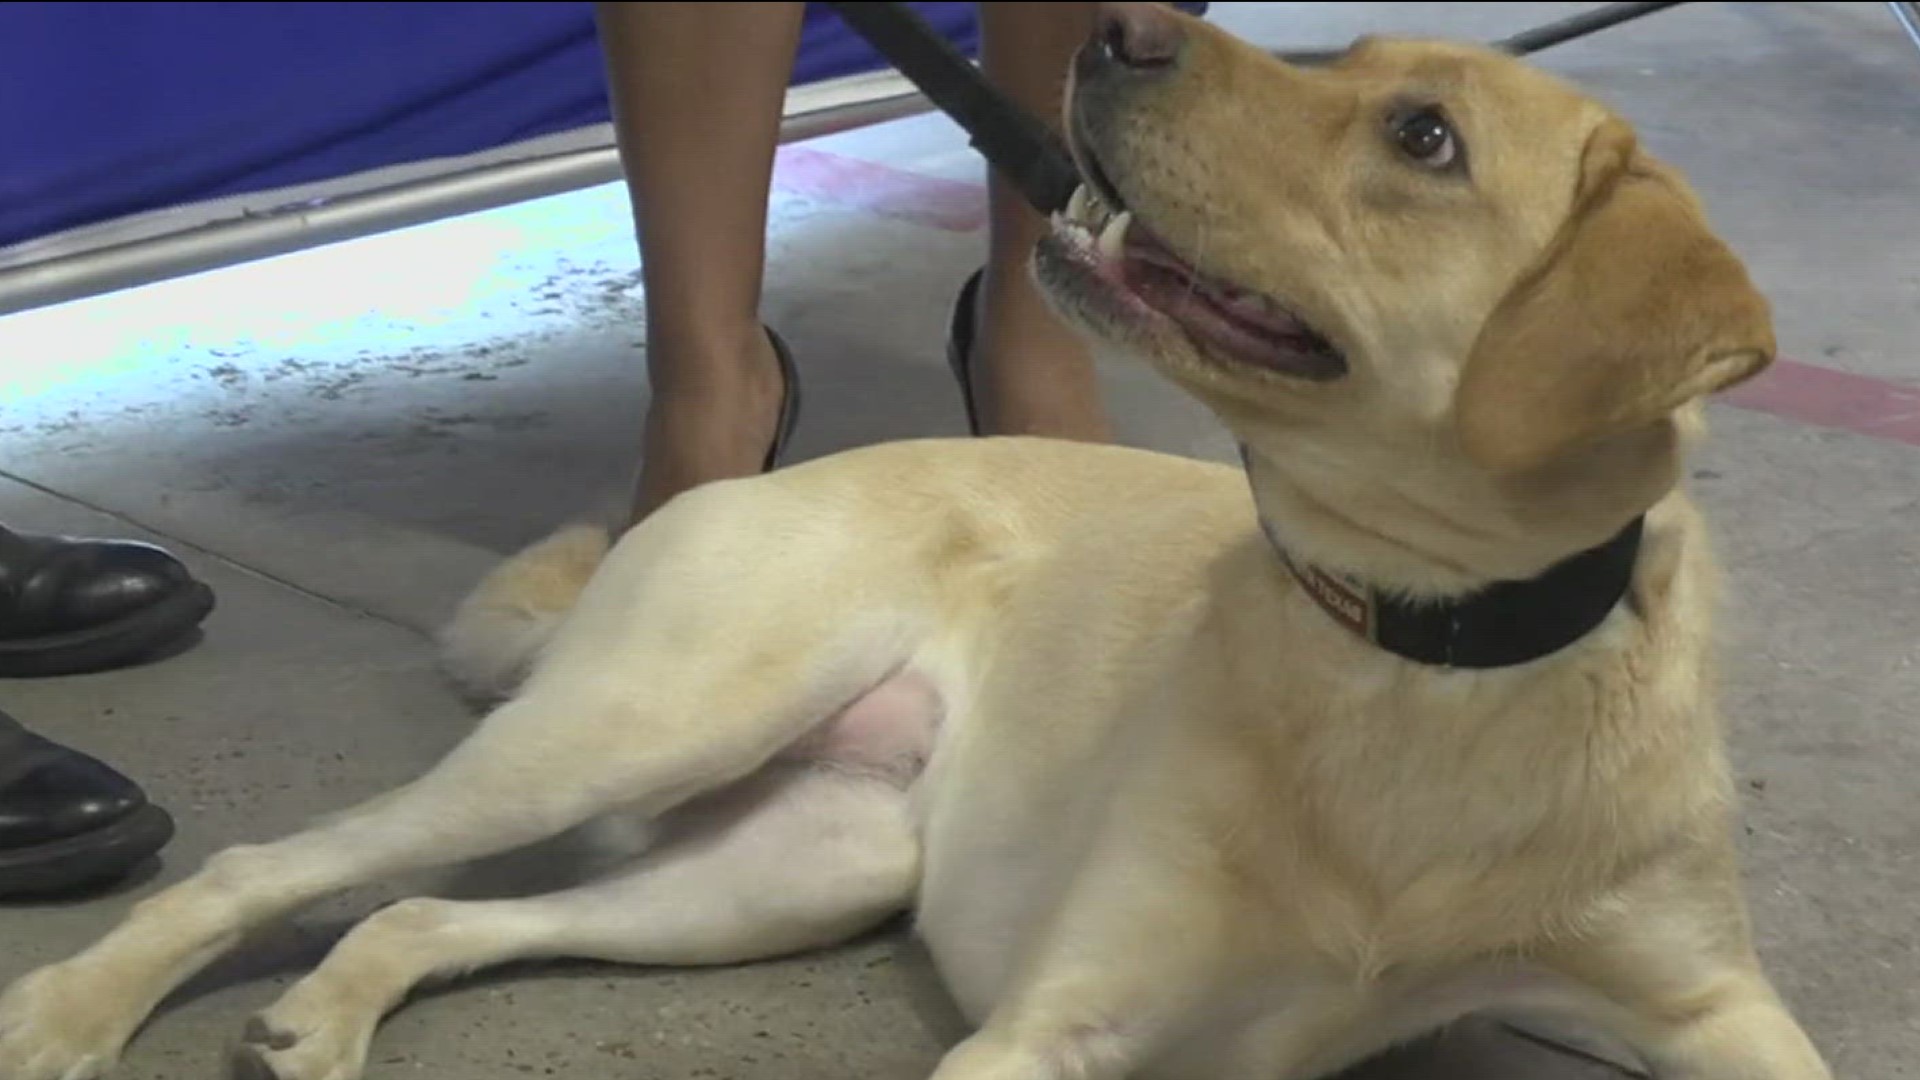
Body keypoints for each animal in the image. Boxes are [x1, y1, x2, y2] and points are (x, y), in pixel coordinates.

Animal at [0, 8, 1827, 1076]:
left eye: (1423, 137)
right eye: (1349, 64)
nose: (1120, 25)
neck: (1425, 660)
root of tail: (734, 487)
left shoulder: (1713, 1008)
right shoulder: (1051, 1027)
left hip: (801, 863)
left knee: (421, 917)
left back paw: (323, 1012)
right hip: (645, 723)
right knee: (273, 866)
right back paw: (70, 1011)